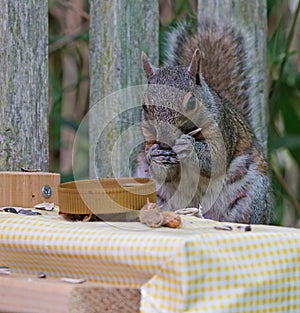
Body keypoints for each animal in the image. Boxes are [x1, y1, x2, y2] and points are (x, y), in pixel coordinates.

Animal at [136, 20, 272, 224]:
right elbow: (162, 172)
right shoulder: (149, 136)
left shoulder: (221, 130)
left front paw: (188, 146)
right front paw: (155, 154)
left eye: (191, 102)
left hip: (250, 197)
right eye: (145, 107)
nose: (165, 142)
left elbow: (215, 158)